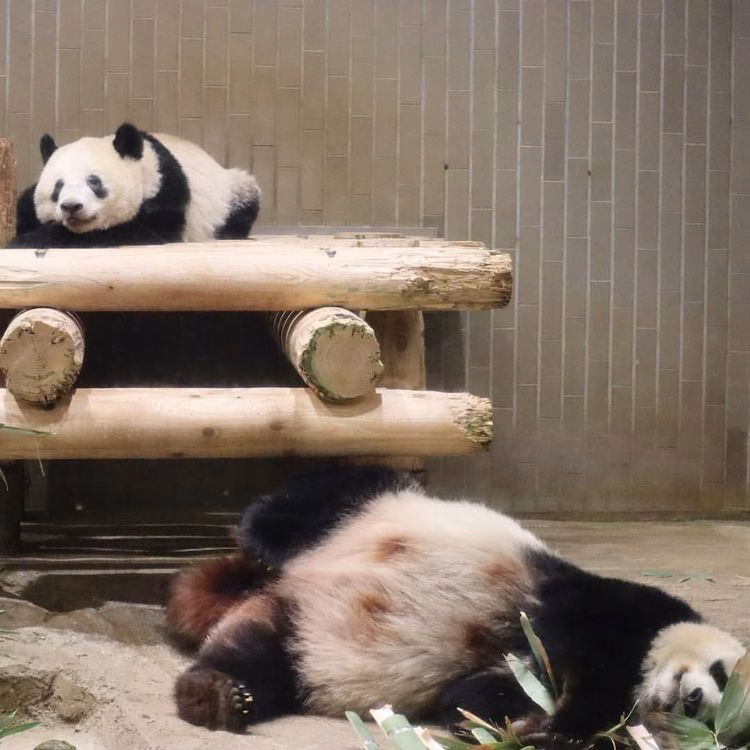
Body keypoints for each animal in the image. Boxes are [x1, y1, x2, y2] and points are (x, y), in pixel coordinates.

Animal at [8, 122, 260, 248]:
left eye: (94, 182)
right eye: (58, 186)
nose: (71, 206)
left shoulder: (166, 191)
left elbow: (132, 231)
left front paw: (26, 240)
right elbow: (25, 205)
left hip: (230, 190)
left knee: (245, 200)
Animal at [166, 466, 747, 748]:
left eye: (717, 716)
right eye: (722, 673)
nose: (693, 699)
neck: (645, 670)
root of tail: (279, 586)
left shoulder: (509, 668)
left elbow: (470, 700)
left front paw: (530, 728)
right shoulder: (613, 609)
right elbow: (578, 644)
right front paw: (565, 723)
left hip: (294, 634)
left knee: (259, 657)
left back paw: (216, 694)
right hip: (364, 509)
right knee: (317, 501)